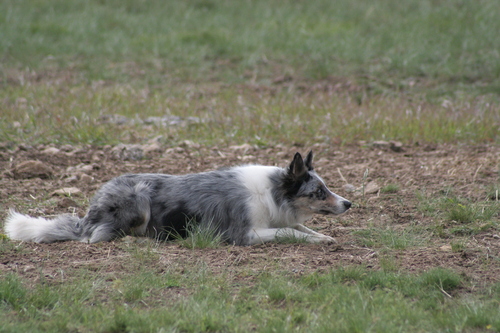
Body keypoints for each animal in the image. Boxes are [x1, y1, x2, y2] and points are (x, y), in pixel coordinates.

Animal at [6, 150, 352, 244]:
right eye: (319, 192)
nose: (349, 203)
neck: (272, 192)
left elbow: (302, 227)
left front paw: (323, 237)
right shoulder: (245, 234)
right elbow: (289, 231)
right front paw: (318, 239)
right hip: (139, 199)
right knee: (97, 237)